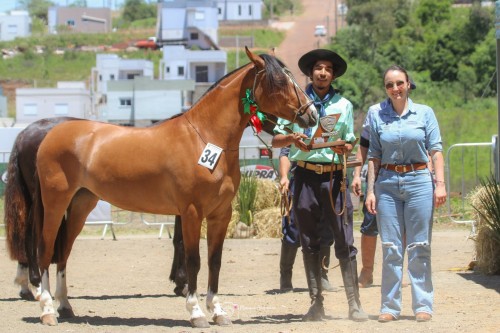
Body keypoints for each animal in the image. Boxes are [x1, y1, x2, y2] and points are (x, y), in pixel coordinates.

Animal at [28, 48, 316, 326]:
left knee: (63, 252)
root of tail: (50, 134)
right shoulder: (191, 212)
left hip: (81, 204)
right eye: (279, 81)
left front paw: (218, 311)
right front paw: (196, 313)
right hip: (55, 204)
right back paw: (47, 310)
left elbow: (215, 261)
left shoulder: (221, 214)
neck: (205, 137)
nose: (311, 114)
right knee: (45, 249)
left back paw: (65, 307)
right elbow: (193, 261)